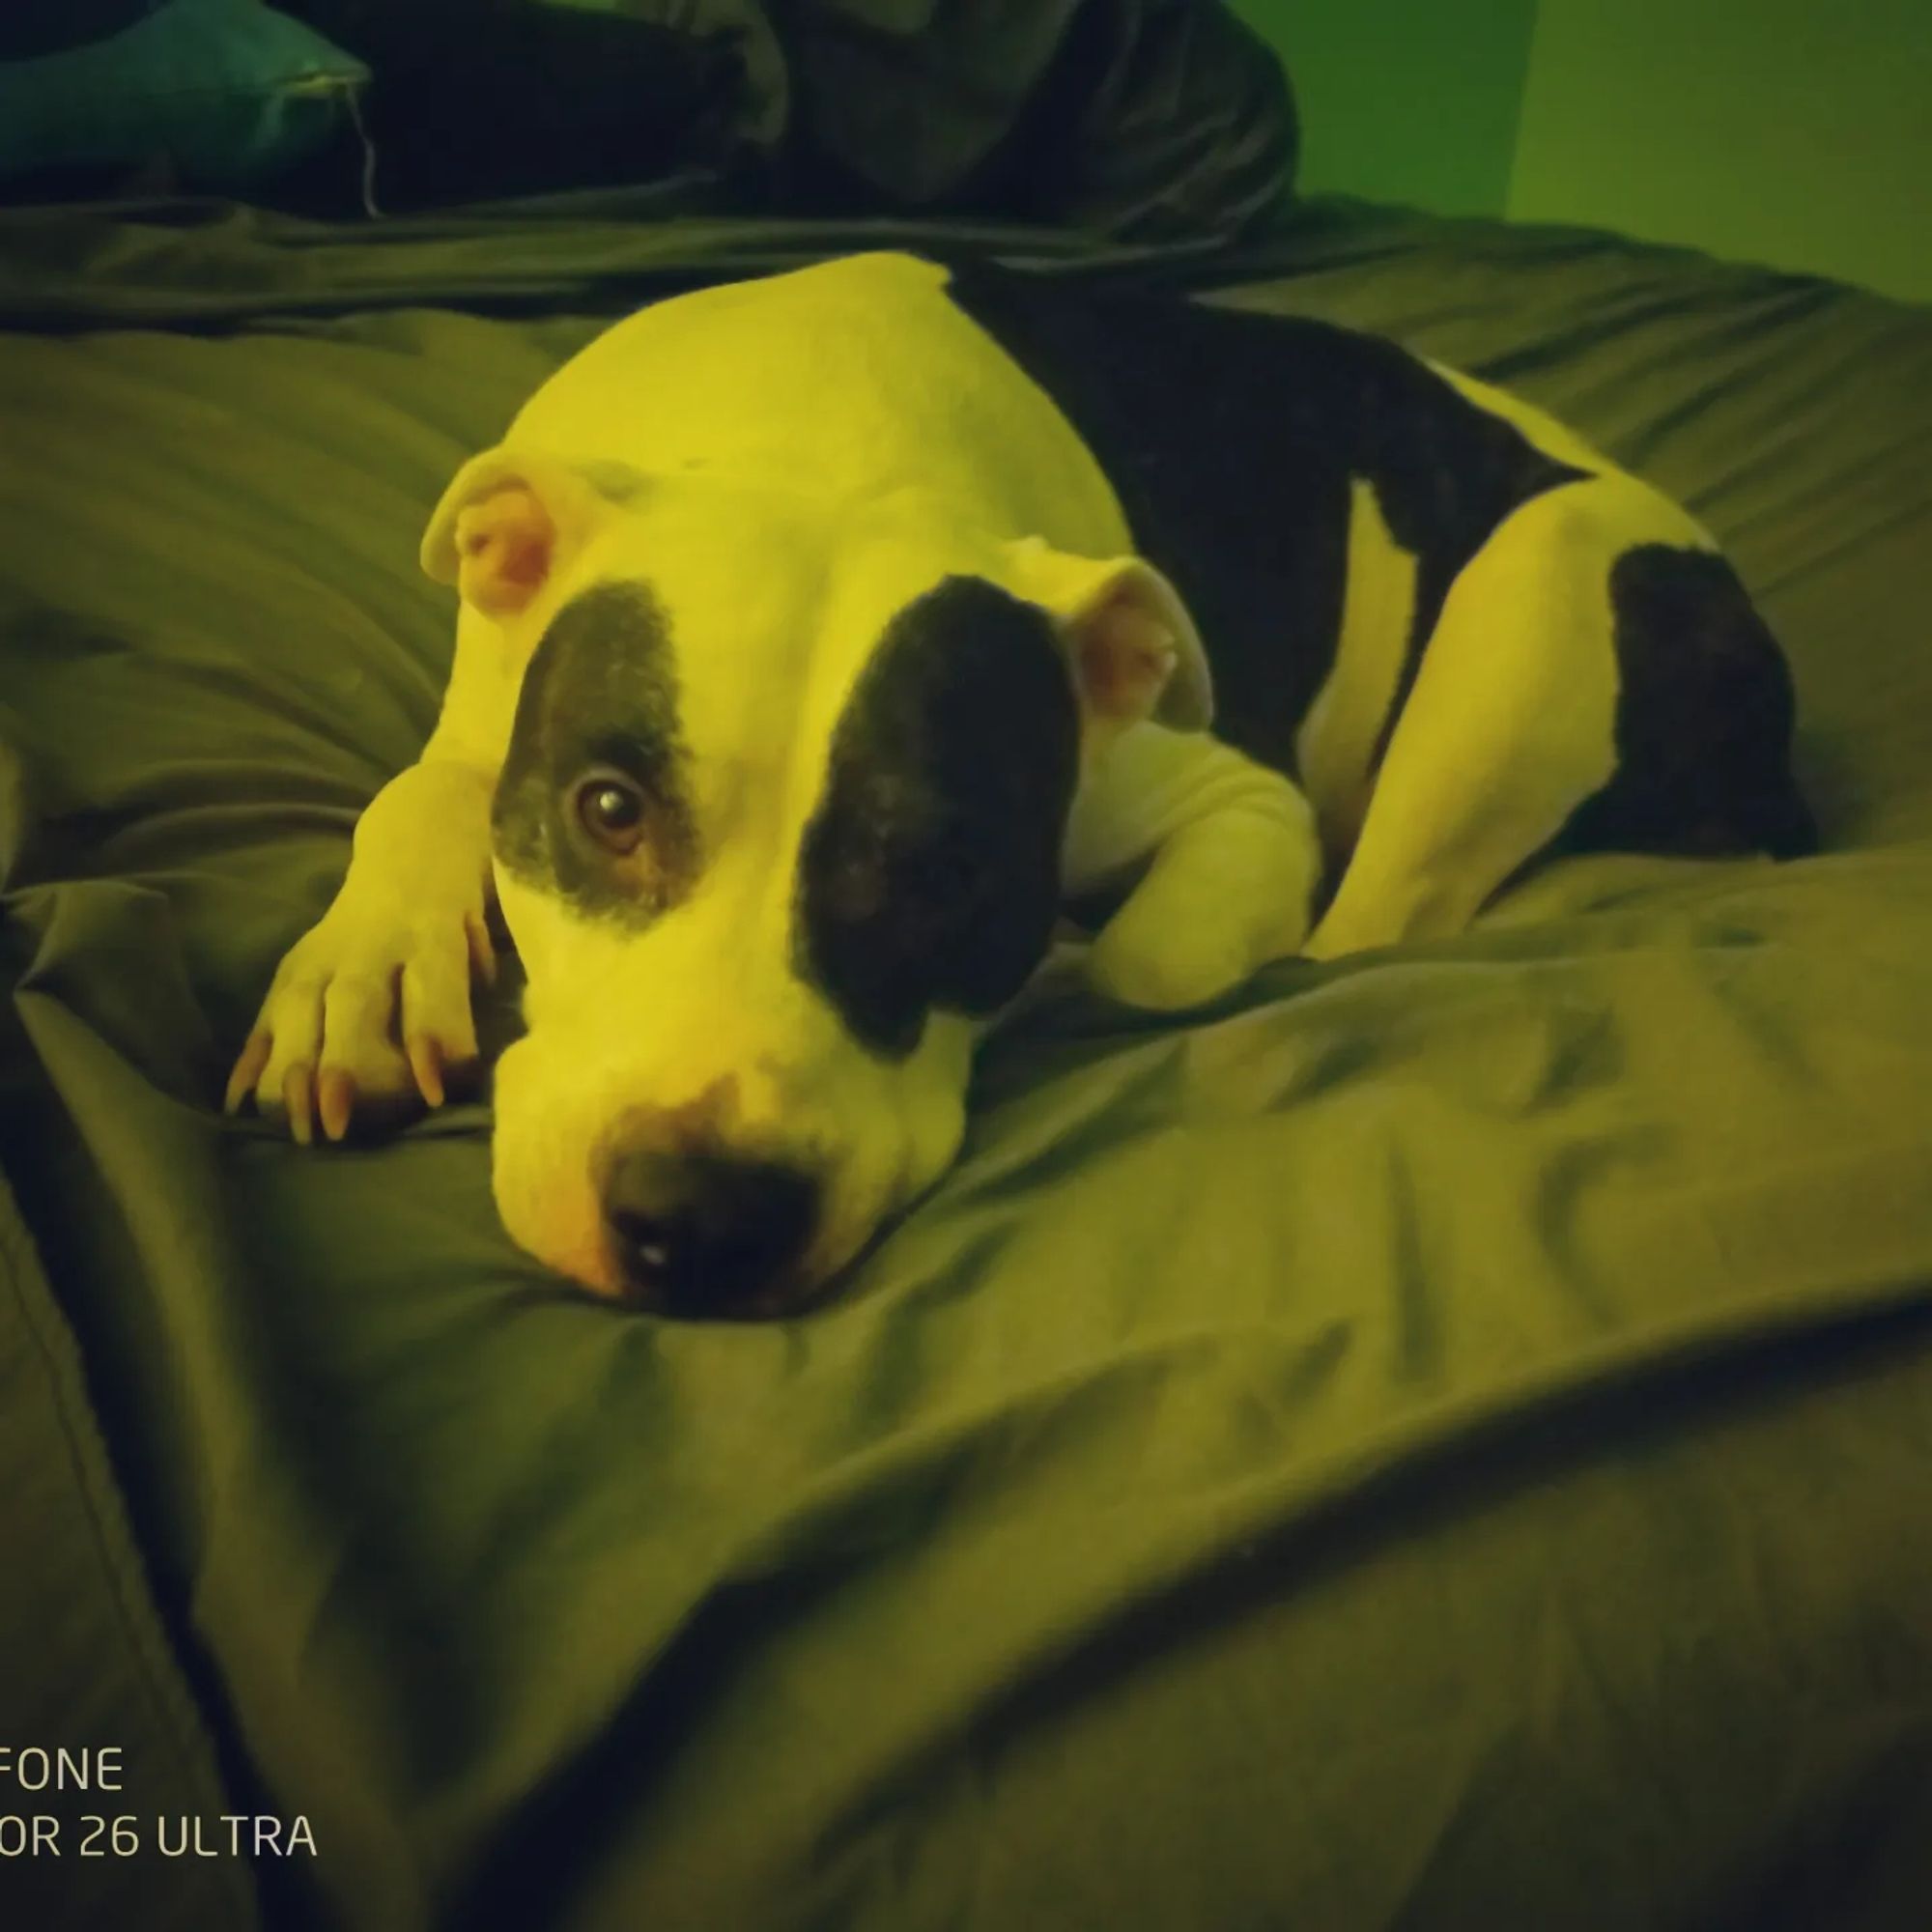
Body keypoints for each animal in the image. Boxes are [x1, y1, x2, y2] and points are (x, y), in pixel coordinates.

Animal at [222, 253, 1808, 1314]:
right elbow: (420, 796)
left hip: (1528, 611)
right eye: (606, 810)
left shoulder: (1237, 801)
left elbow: (1147, 964)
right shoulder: (491, 711)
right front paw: (361, 978)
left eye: (949, 873)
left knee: (1362, 927)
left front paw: (1064, 966)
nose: (700, 1216)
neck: (812, 439)